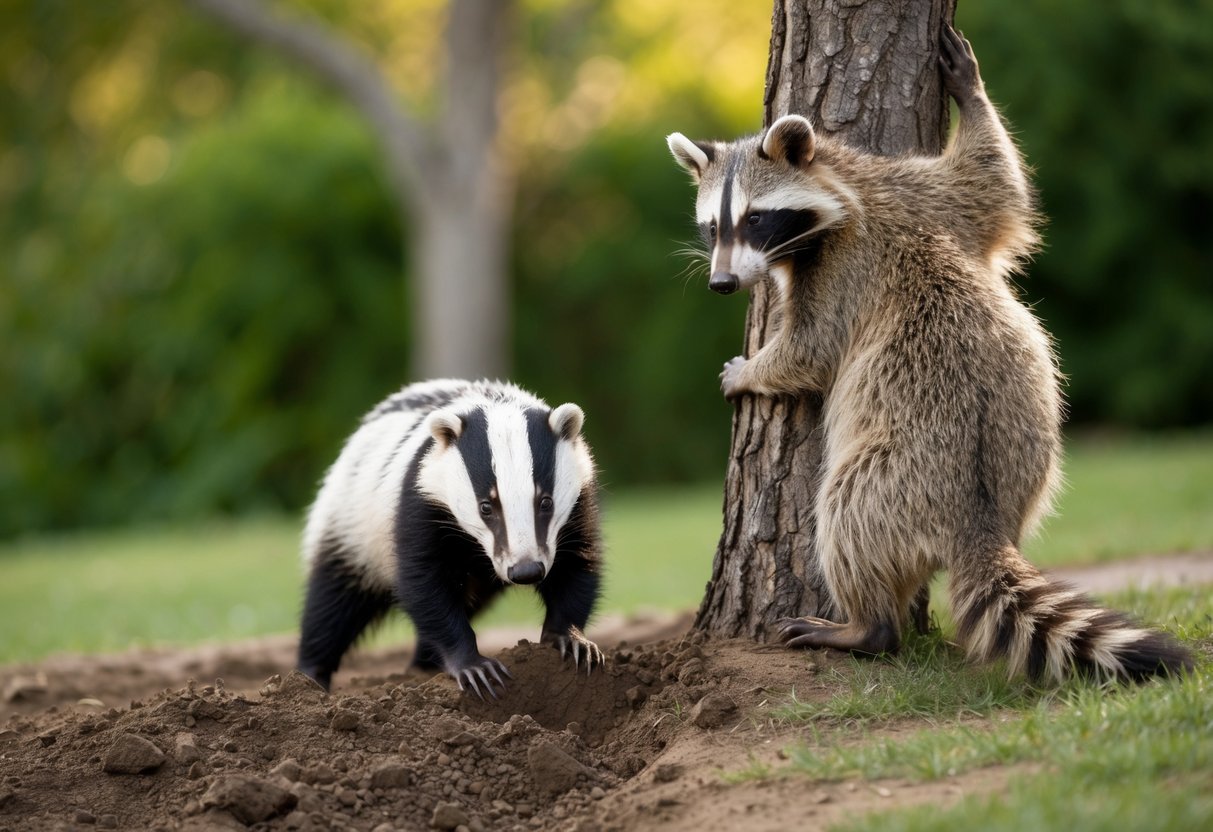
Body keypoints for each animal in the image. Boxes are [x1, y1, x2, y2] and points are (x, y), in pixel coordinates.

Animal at [298, 379, 603, 697]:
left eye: (545, 502)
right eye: (486, 506)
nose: (526, 570)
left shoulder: (580, 502)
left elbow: (578, 562)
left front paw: (571, 640)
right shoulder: (421, 502)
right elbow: (425, 583)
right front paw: (475, 667)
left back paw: (423, 665)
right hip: (349, 523)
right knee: (333, 602)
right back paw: (309, 677)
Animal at [666, 25, 1192, 682]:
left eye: (756, 220)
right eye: (714, 227)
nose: (722, 284)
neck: (843, 187)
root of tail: (981, 523)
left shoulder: (844, 272)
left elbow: (812, 351)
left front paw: (753, 372)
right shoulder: (925, 195)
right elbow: (993, 185)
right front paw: (974, 96)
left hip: (904, 474)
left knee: (848, 511)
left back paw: (866, 625)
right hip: (1035, 466)